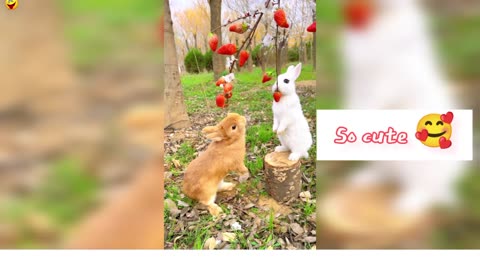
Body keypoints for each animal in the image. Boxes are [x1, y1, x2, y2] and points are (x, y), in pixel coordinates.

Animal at [344, 0, 466, 215]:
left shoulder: (390, 80)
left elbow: (378, 98)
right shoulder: (358, 81)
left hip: (419, 166)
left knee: (424, 189)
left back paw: (406, 205)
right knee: (387, 175)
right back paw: (364, 179)